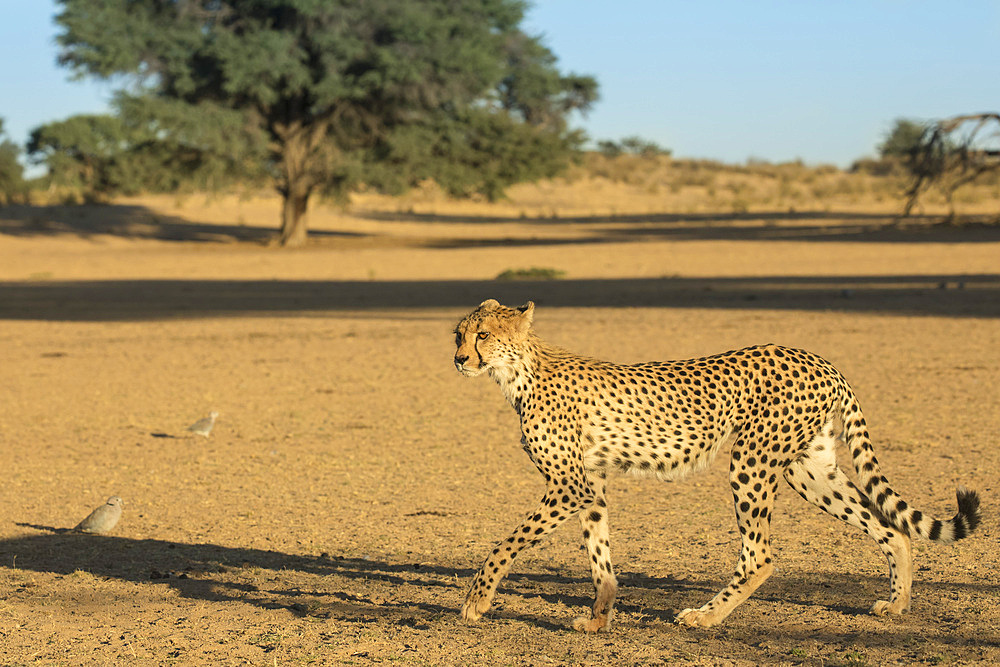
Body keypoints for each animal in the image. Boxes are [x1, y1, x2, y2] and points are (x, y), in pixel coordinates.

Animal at [456, 298, 984, 632]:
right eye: (458, 334)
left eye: (483, 335)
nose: (459, 359)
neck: (518, 371)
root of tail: (819, 359)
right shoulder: (592, 485)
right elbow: (599, 555)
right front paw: (598, 619)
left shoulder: (570, 485)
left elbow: (506, 543)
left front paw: (476, 601)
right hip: (808, 468)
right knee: (890, 526)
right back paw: (898, 603)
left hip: (751, 460)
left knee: (760, 554)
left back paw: (705, 616)